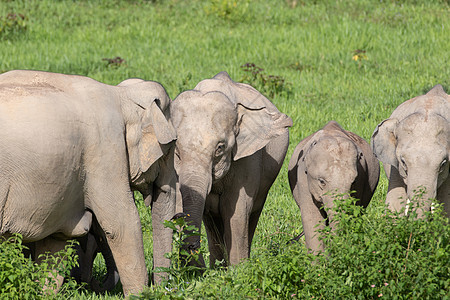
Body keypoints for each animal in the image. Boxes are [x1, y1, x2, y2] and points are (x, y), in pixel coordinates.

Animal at [0, 70, 178, 296]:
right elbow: (122, 224)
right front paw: (140, 296)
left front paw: (43, 294)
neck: (121, 95)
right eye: (171, 147)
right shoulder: (105, 151)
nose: (162, 288)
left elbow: (56, 239)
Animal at [171, 72, 294, 268]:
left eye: (220, 148)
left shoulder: (248, 159)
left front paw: (239, 270)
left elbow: (236, 210)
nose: (192, 246)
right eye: (176, 149)